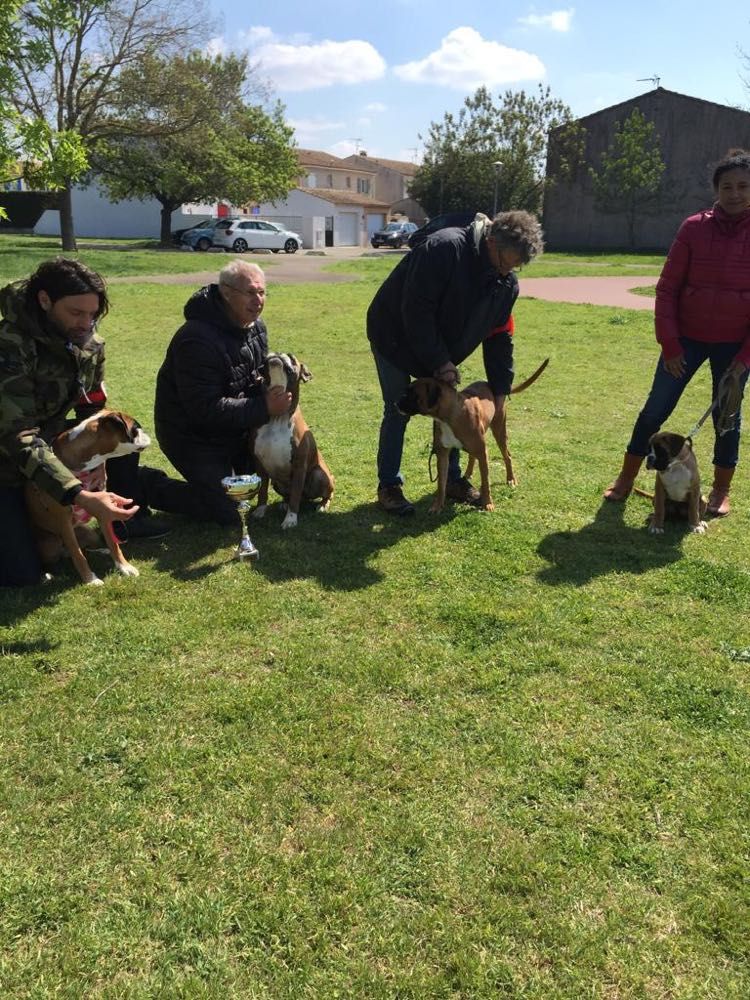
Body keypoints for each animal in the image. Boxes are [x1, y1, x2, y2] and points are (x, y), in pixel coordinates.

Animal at [25, 410, 152, 584]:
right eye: (136, 427)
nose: (147, 433)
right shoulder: (64, 521)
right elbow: (78, 555)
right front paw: (90, 579)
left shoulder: (104, 511)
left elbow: (113, 543)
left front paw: (124, 566)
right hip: (50, 544)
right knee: (60, 556)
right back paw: (47, 574)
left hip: (89, 534)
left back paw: (102, 550)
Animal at [253, 354, 334, 532]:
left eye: (291, 357)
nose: (277, 354)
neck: (278, 417)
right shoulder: (260, 465)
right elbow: (262, 490)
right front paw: (260, 510)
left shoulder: (299, 466)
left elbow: (296, 495)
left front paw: (290, 519)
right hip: (277, 482)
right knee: (289, 495)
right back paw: (284, 503)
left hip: (320, 475)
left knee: (324, 494)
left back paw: (322, 505)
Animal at [400, 358, 552, 512]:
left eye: (413, 394)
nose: (396, 403)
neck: (449, 415)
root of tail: (491, 384)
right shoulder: (442, 454)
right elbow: (441, 484)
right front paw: (437, 506)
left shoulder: (483, 453)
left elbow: (485, 483)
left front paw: (488, 503)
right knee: (472, 456)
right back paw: (468, 473)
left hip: (499, 431)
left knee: (507, 456)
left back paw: (510, 479)